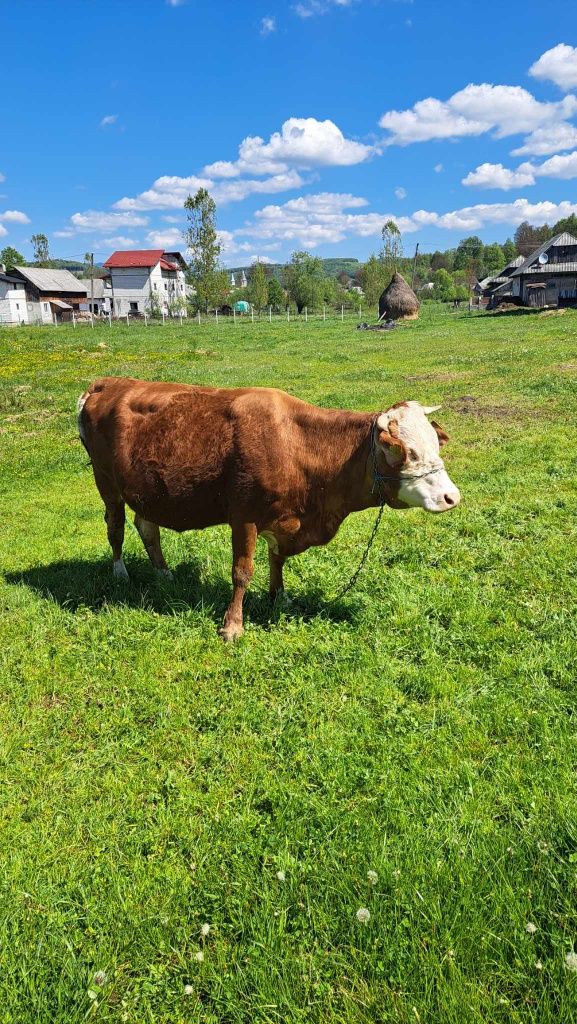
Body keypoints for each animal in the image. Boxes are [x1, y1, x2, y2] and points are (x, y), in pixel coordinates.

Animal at [77, 376, 461, 638]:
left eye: (435, 444)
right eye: (404, 452)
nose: (451, 497)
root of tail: (109, 382)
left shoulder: (285, 519)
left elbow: (277, 560)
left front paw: (279, 596)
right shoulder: (243, 517)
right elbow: (242, 572)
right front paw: (232, 625)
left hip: (146, 490)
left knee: (147, 526)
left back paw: (164, 573)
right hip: (106, 483)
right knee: (115, 527)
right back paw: (120, 573)